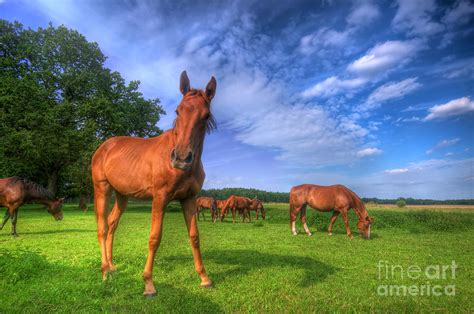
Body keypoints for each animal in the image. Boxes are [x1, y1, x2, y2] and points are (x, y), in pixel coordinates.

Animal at [91, 71, 218, 296]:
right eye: (178, 111)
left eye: (206, 116)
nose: (181, 158)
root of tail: (104, 147)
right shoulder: (160, 198)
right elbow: (154, 238)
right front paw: (148, 283)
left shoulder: (189, 199)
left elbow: (194, 236)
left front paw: (204, 278)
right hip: (102, 189)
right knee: (102, 227)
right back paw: (105, 271)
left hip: (122, 196)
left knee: (112, 224)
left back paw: (113, 266)